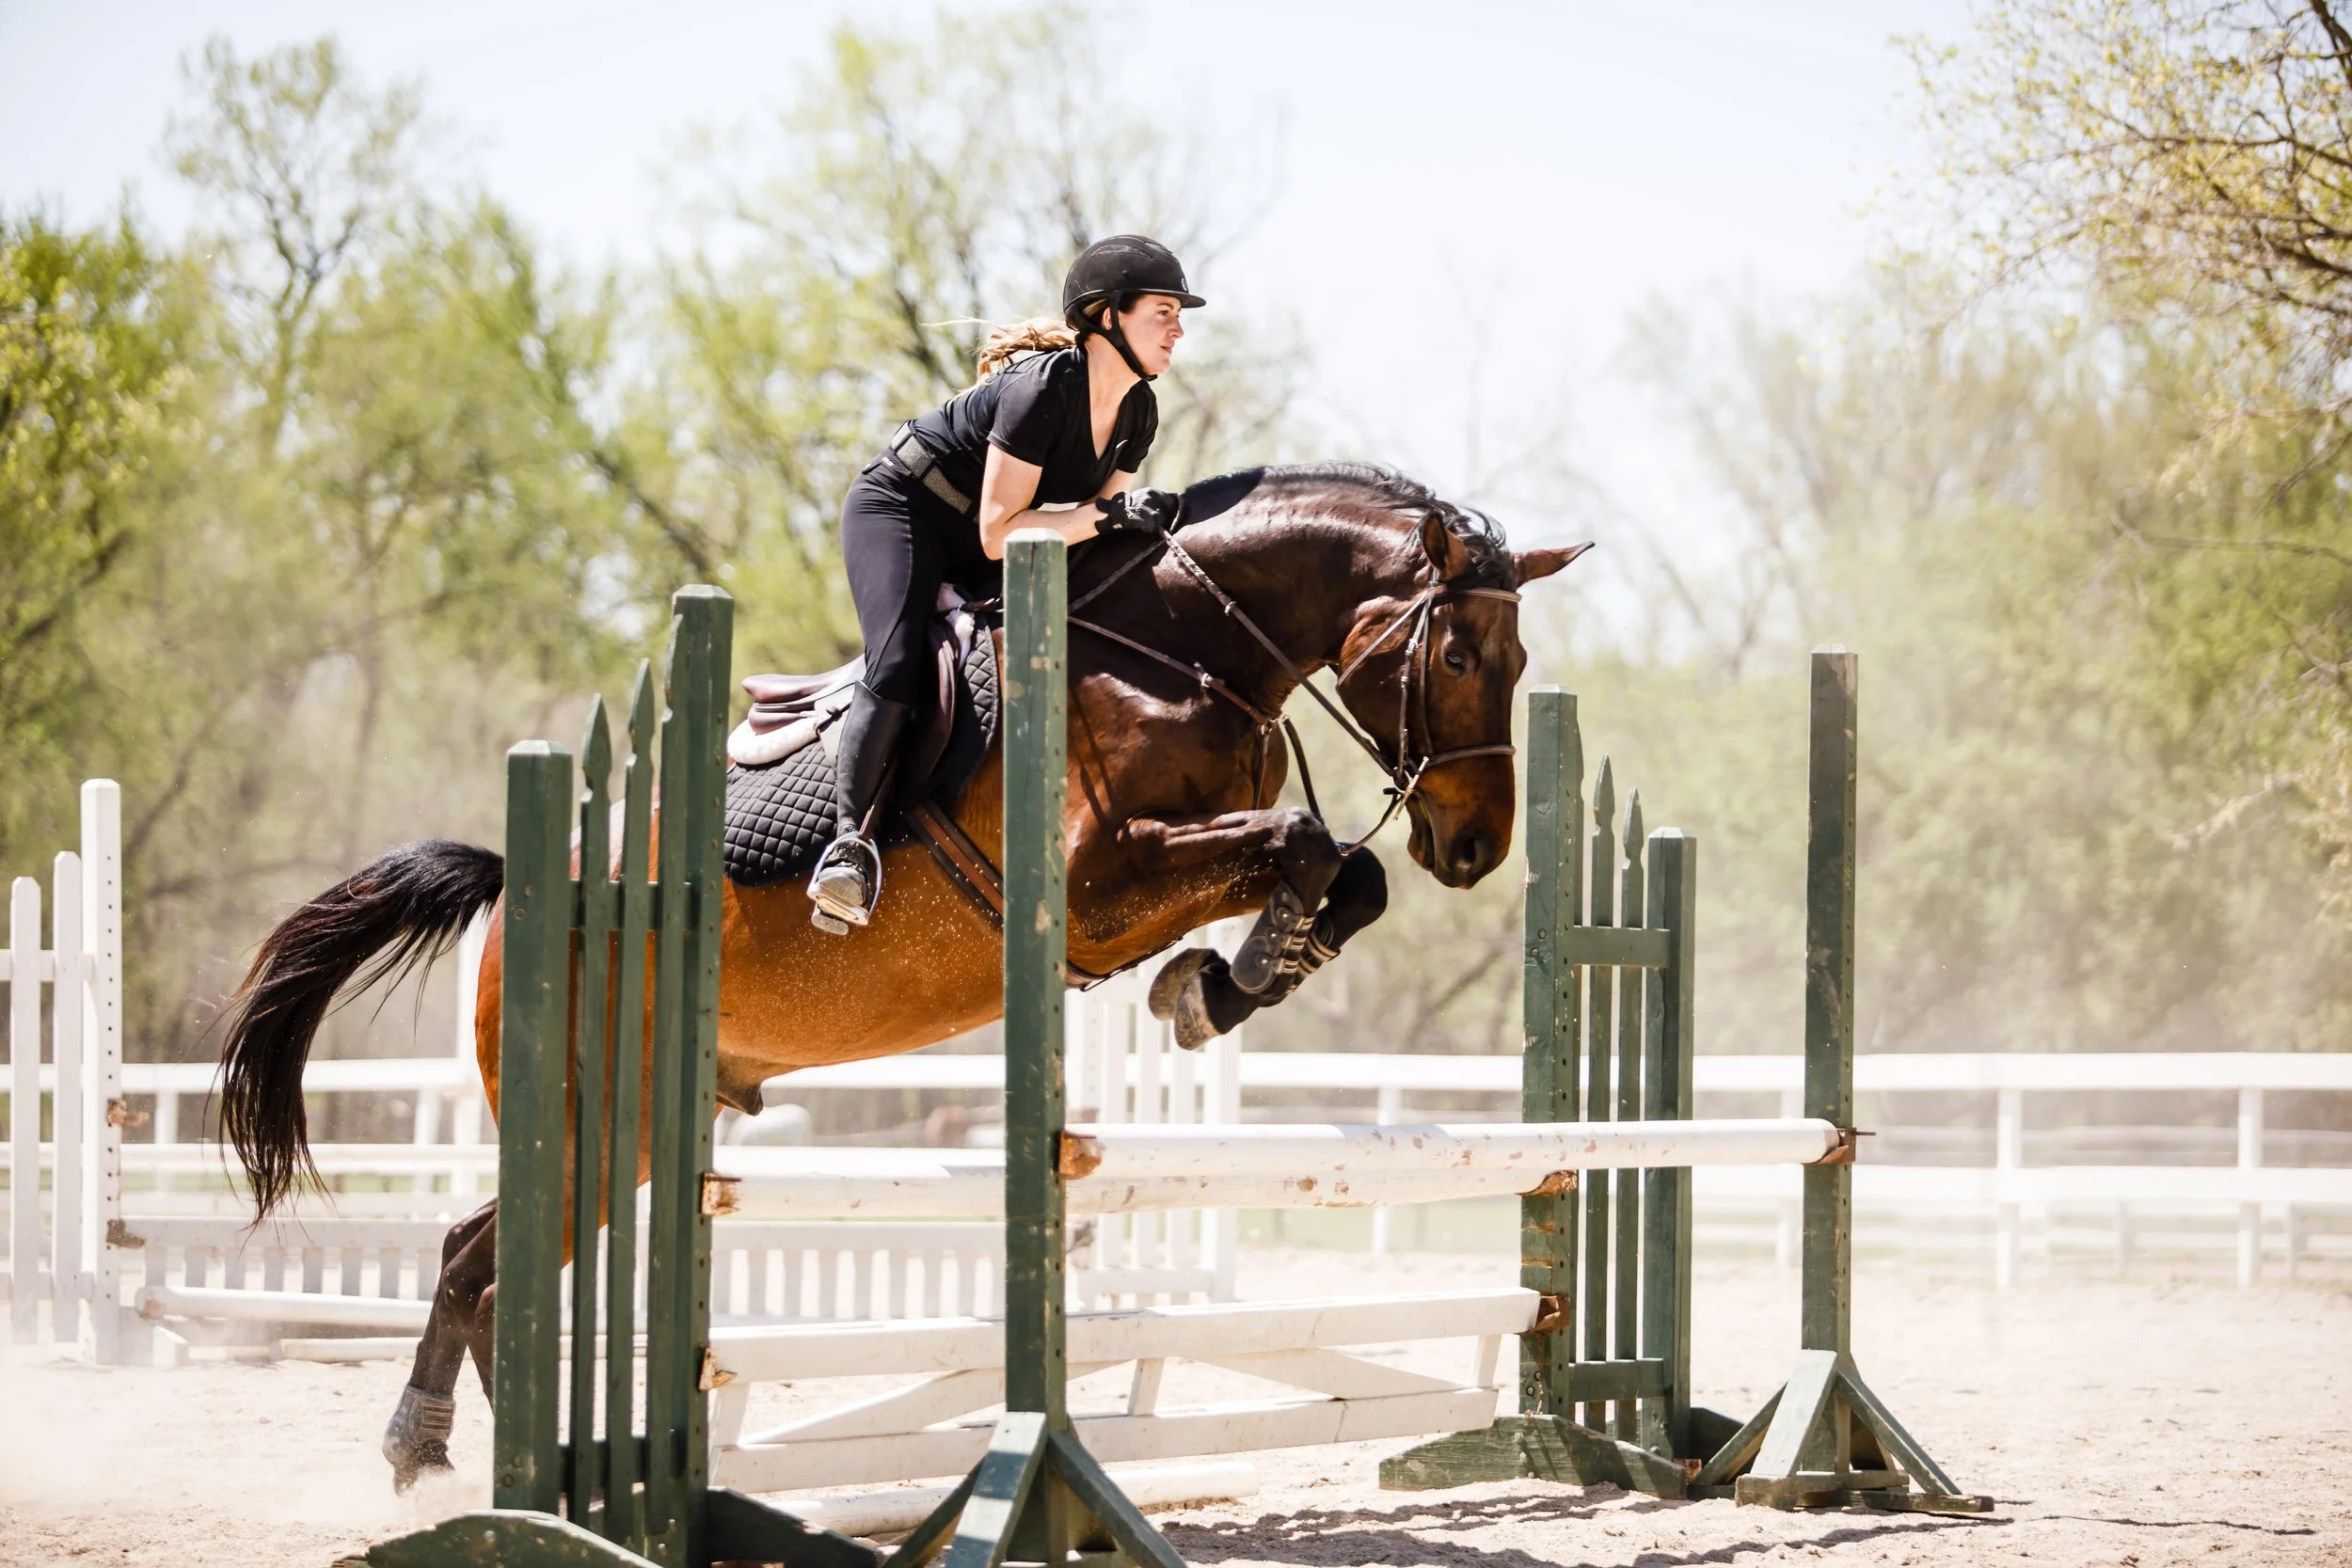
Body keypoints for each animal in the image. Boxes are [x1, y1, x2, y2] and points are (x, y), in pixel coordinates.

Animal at [212, 462, 1587, 1489]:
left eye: (1521, 667)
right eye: (1458, 656)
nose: (1477, 847)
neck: (1176, 650)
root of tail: (524, 887)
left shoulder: (1162, 876)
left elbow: (1346, 876)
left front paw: (1223, 980)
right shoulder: (1098, 885)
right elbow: (1307, 842)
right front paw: (1216, 981)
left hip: (637, 1131)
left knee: (476, 1256)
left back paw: (490, 1460)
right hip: (599, 1112)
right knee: (482, 1267)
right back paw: (473, 1463)